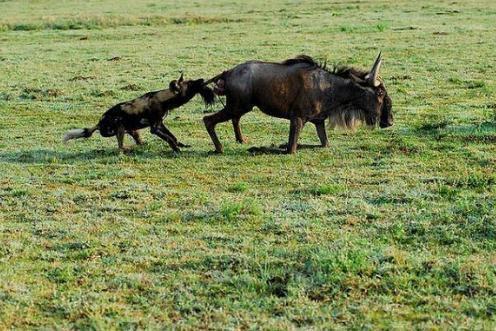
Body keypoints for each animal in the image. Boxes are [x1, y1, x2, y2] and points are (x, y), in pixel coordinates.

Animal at [63, 73, 214, 152]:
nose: (202, 79)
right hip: (119, 127)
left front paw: (180, 145)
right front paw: (176, 149)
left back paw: (141, 145)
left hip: (131, 130)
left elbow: (172, 136)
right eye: (190, 84)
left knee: (136, 140)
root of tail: (99, 123)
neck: (163, 99)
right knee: (120, 146)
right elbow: (169, 138)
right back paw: (126, 150)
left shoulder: (160, 124)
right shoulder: (155, 128)